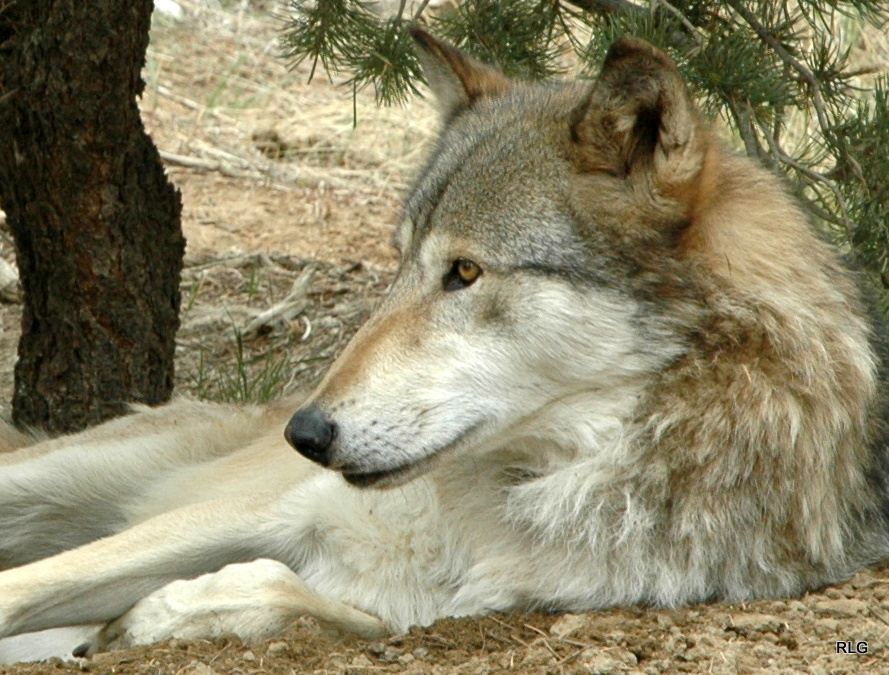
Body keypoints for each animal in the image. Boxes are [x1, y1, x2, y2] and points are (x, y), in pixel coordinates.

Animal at [1, 30, 888, 664]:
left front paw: (155, 617)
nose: (304, 433)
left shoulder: (442, 609)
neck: (518, 490)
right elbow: (30, 582)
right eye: (398, 262)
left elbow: (312, 601)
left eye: (463, 271)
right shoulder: (251, 510)